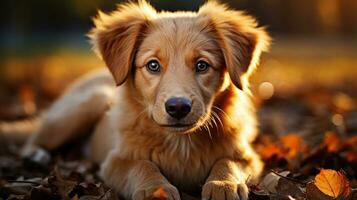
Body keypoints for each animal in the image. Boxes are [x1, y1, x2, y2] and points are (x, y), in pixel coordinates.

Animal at [8, 0, 268, 199]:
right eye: (153, 65)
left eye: (202, 65)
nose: (178, 107)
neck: (181, 143)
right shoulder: (115, 161)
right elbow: (141, 165)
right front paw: (155, 189)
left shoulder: (250, 157)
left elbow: (228, 162)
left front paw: (224, 184)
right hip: (86, 104)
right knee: (35, 137)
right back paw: (35, 155)